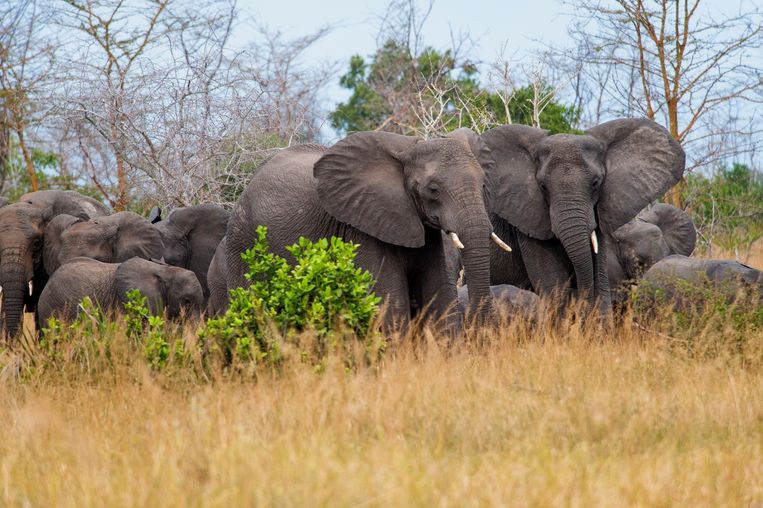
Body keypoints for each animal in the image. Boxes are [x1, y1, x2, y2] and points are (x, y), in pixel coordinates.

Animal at [224, 131, 504, 328]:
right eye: (433, 190)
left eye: (483, 184)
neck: (408, 151)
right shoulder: (362, 227)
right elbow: (390, 305)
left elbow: (439, 296)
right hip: (243, 242)